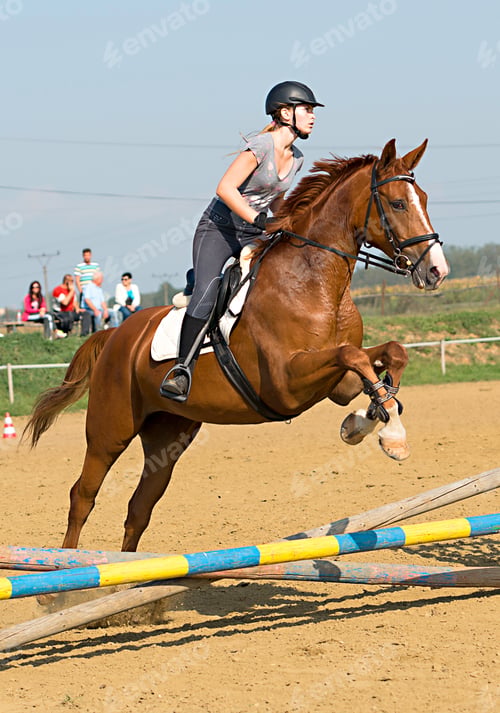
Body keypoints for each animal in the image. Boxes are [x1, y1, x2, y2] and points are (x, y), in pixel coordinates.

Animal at [25, 138, 449, 553]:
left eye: (424, 199)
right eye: (397, 203)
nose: (436, 271)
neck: (313, 280)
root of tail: (114, 335)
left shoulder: (335, 384)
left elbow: (386, 353)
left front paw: (370, 418)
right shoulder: (286, 383)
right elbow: (353, 355)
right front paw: (390, 433)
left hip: (168, 435)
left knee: (139, 508)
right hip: (109, 430)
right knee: (83, 495)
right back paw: (63, 572)